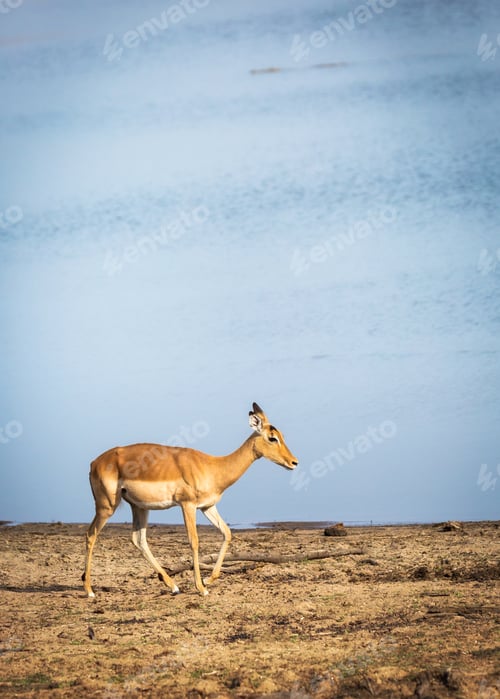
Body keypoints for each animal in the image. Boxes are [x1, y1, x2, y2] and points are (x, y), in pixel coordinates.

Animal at [83, 403, 298, 597]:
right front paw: (201, 588)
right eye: (272, 438)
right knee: (91, 534)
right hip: (107, 506)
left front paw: (208, 580)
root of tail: (95, 463)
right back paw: (89, 590)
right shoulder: (188, 505)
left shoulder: (208, 506)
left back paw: (173, 586)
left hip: (139, 507)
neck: (214, 467)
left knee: (138, 539)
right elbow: (194, 541)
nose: (294, 462)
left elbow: (227, 533)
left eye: (282, 436)